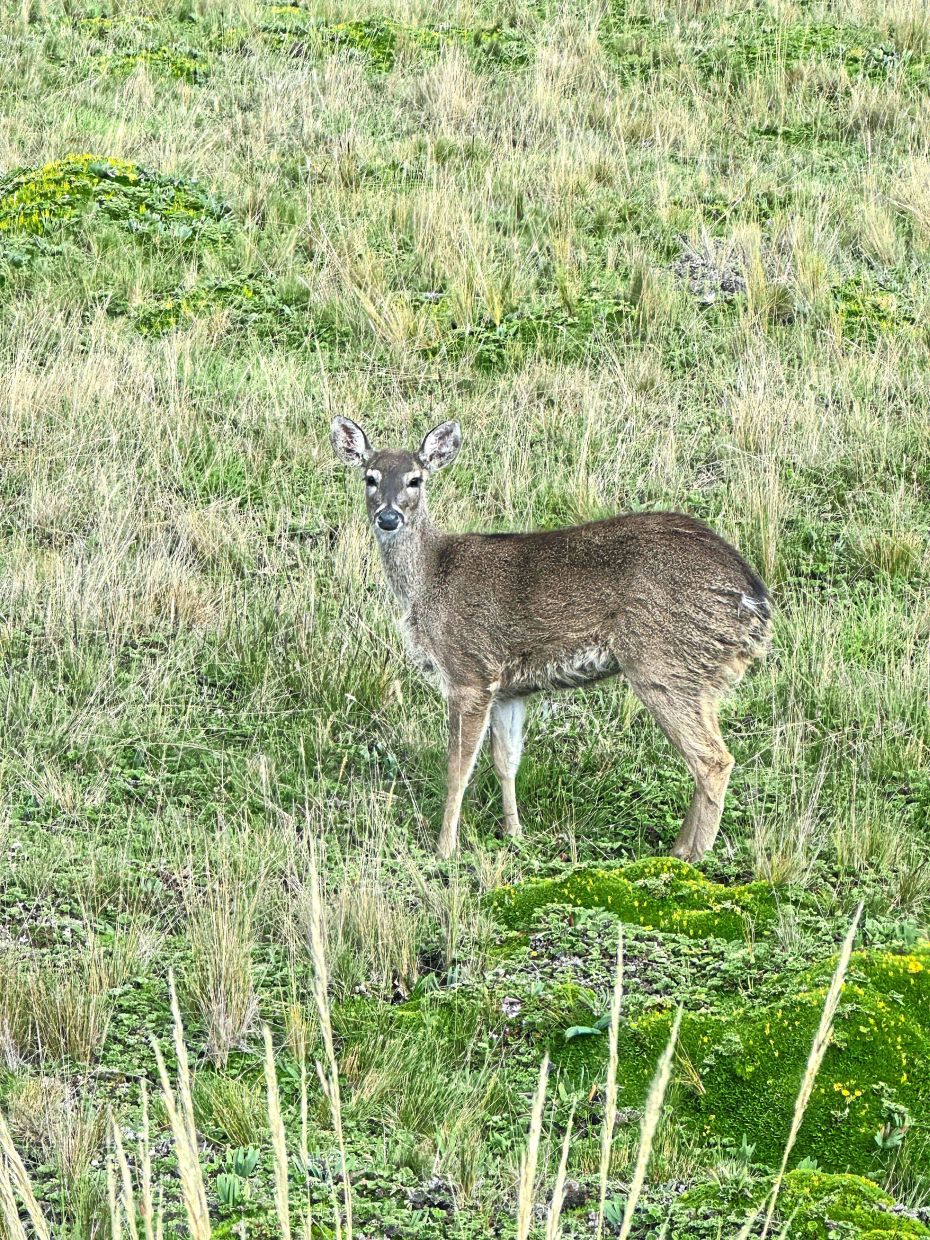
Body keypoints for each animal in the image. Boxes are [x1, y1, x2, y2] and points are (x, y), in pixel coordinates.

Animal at [331, 416, 771, 863]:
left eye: (415, 479)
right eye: (370, 477)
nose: (388, 517)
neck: (428, 579)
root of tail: (754, 596)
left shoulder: (467, 670)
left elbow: (458, 768)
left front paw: (444, 849)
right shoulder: (508, 688)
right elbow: (506, 761)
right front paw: (515, 834)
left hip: (663, 661)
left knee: (712, 759)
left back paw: (690, 858)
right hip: (702, 673)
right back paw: (679, 849)